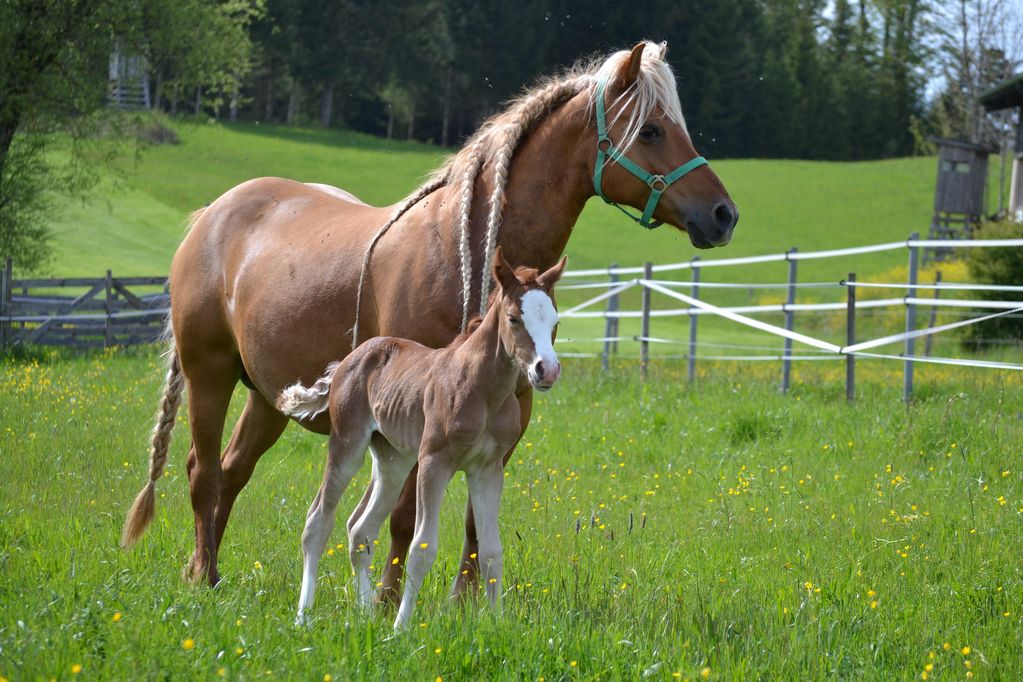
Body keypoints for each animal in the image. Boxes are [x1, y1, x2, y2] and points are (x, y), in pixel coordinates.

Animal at [278, 248, 565, 629]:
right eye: (514, 318)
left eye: (554, 320)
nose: (546, 370)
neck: (483, 392)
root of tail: (347, 361)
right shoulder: (434, 462)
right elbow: (421, 548)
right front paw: (401, 627)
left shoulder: (487, 469)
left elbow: (491, 550)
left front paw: (496, 623)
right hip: (347, 446)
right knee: (317, 522)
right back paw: (303, 616)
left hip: (392, 461)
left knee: (360, 529)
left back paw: (366, 612)